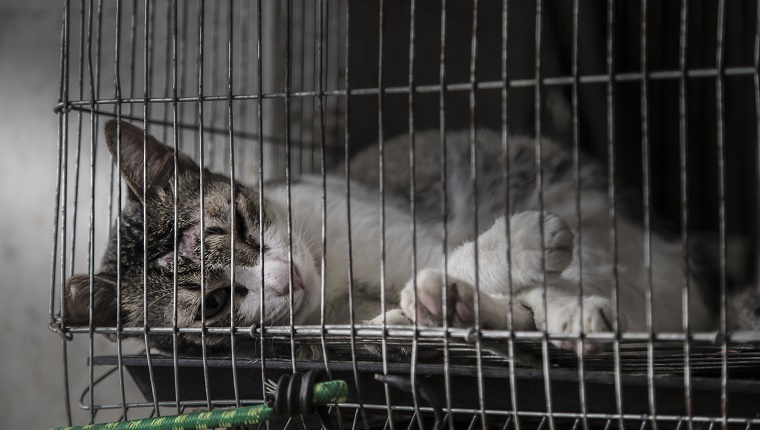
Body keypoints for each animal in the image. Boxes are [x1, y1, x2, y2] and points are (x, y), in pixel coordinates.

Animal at [60, 119, 724, 354]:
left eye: (243, 228)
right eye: (220, 302)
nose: (285, 278)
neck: (331, 283)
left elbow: (460, 259)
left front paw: (538, 278)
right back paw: (442, 306)